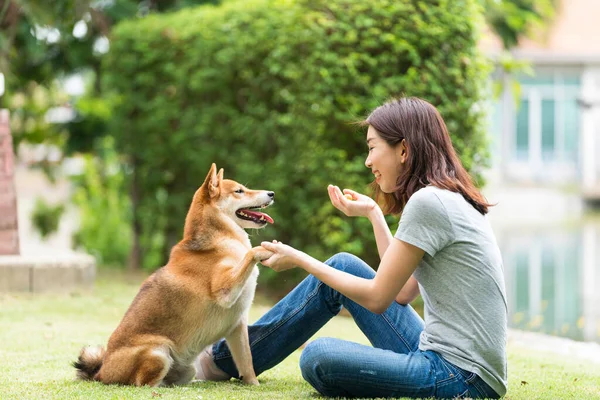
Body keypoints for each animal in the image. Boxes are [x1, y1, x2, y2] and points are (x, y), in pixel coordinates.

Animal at [73, 164, 276, 386]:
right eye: (239, 191)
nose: (271, 193)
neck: (218, 241)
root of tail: (102, 373)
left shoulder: (237, 327)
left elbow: (247, 364)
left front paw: (254, 385)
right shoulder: (224, 291)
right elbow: (251, 253)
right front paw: (263, 250)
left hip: (187, 368)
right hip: (159, 353)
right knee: (143, 384)